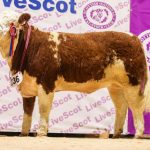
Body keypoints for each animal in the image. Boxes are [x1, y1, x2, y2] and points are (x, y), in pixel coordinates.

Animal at [0, 12, 150, 138]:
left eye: (10, 24)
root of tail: (134, 38)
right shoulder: (28, 88)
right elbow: (27, 113)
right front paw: (23, 134)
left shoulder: (46, 84)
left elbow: (43, 109)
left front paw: (41, 133)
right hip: (115, 86)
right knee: (121, 107)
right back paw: (116, 136)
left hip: (134, 83)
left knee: (137, 107)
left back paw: (137, 135)